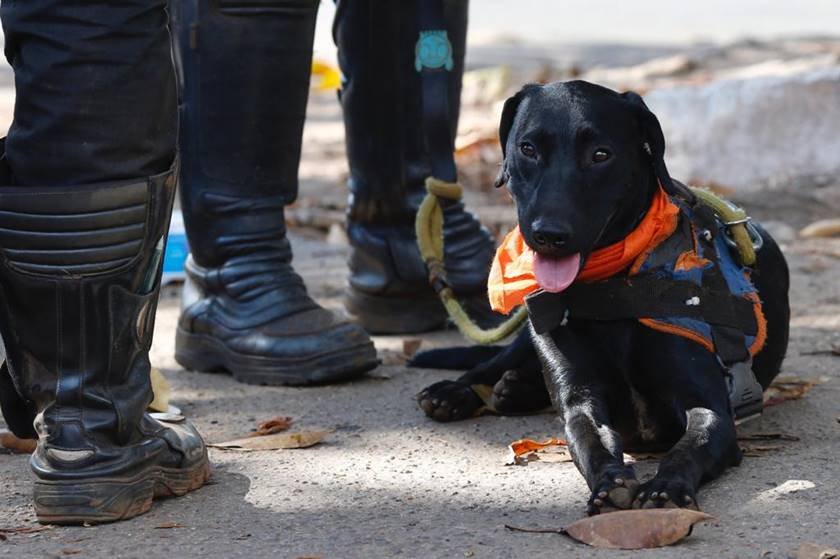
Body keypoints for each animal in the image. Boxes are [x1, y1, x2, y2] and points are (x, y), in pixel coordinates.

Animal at [414, 81, 788, 516]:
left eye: (600, 155)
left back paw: (513, 390)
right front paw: (611, 482)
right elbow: (590, 444)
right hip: (531, 333)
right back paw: (458, 392)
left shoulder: (711, 408)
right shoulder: (581, 402)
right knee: (495, 361)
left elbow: (686, 448)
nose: (548, 234)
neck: (614, 286)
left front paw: (666, 487)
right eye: (528, 148)